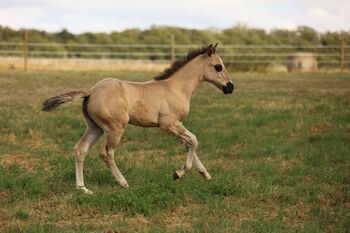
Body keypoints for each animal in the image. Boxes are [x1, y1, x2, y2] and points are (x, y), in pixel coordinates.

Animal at [42, 42, 234, 194]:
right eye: (218, 66)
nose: (230, 87)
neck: (176, 88)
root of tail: (90, 92)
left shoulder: (177, 125)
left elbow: (188, 145)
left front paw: (205, 174)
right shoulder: (168, 124)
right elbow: (194, 140)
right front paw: (179, 173)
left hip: (95, 128)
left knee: (80, 149)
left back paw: (83, 188)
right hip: (114, 128)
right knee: (106, 153)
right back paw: (123, 183)